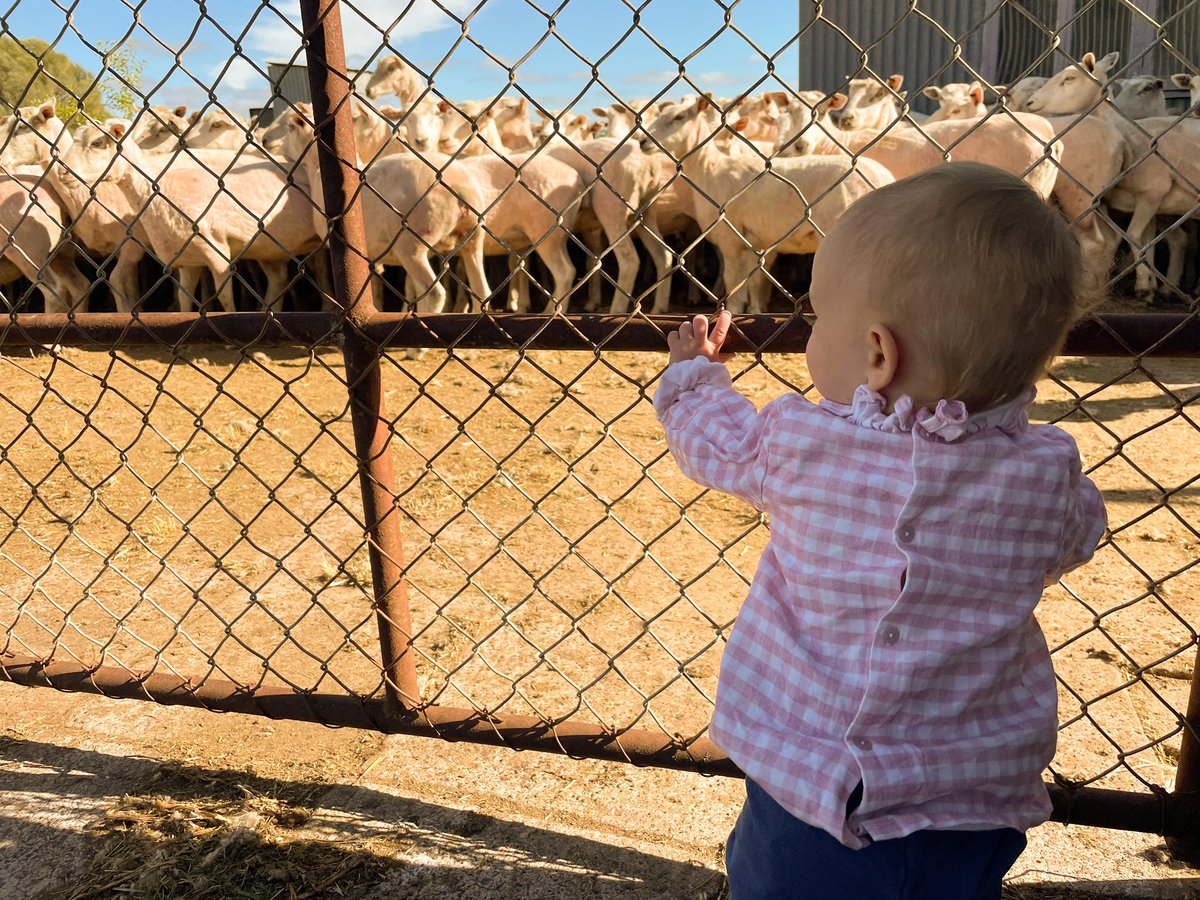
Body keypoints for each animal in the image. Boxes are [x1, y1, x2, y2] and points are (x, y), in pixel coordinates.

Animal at [643, 95, 897, 314]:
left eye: (679, 117)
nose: (643, 141)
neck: (710, 169)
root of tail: (883, 178)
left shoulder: (730, 240)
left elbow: (732, 283)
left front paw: (732, 312)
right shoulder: (755, 242)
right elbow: (752, 283)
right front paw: (752, 311)